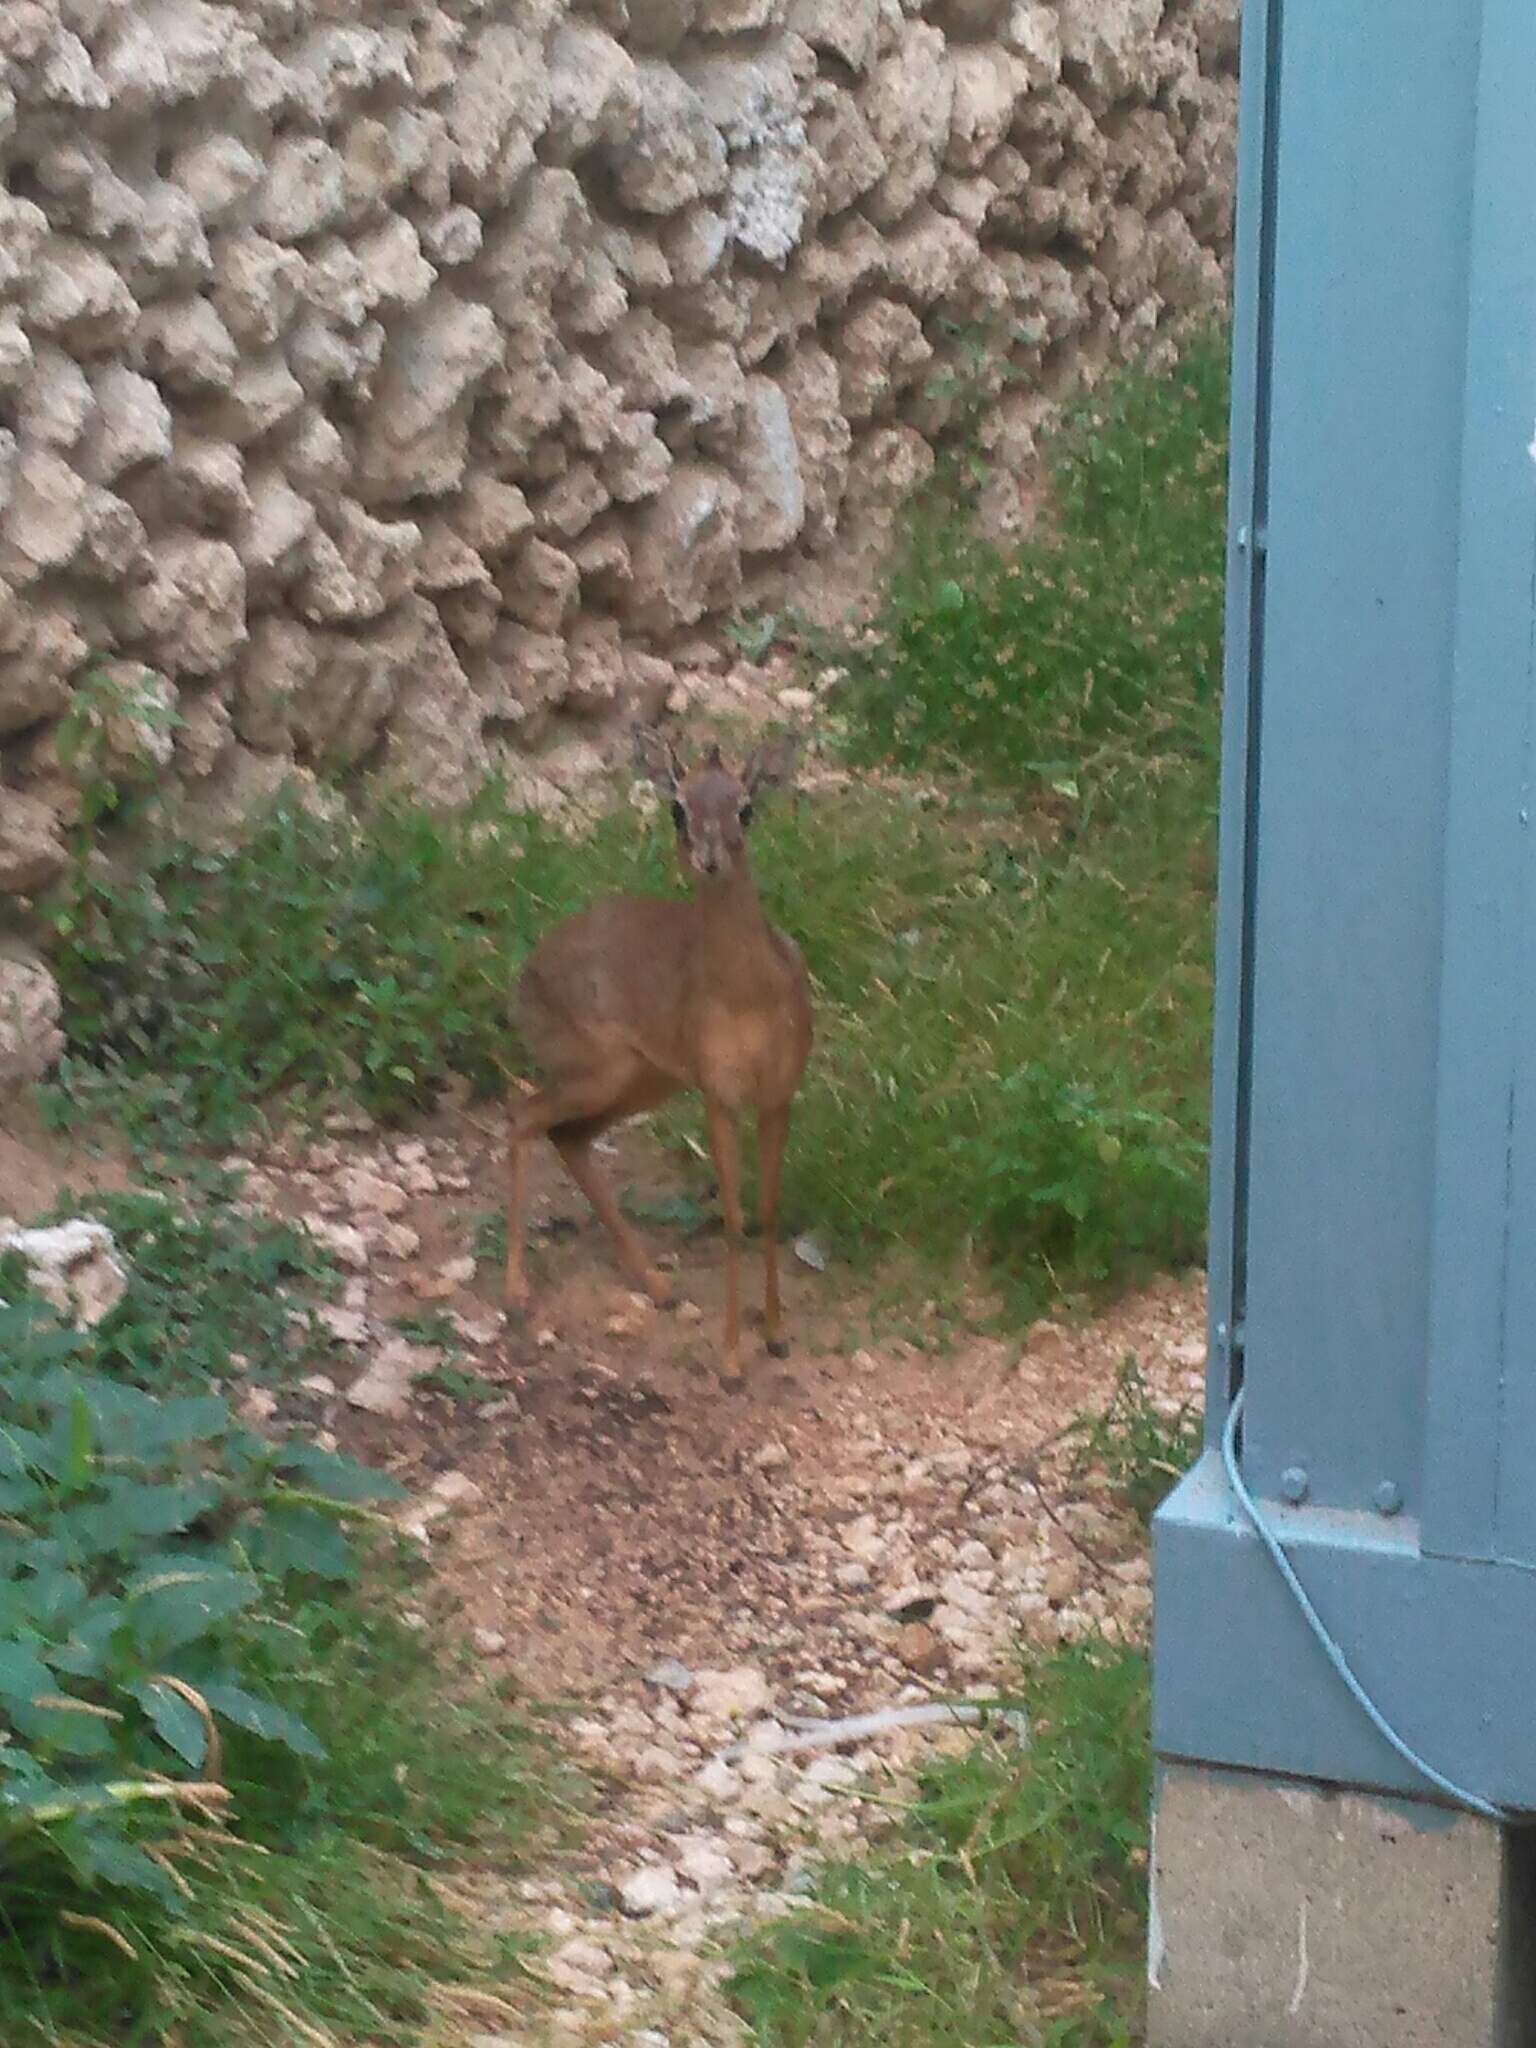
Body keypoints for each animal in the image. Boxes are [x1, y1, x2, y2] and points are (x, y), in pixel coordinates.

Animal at [505, 729, 819, 1384]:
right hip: (597, 1072)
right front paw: (731, 1361)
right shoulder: (720, 1096)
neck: (749, 995)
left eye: (746, 806)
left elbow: (769, 1209)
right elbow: (734, 1219)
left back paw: (658, 1285)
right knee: (521, 1114)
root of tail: (523, 975)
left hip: (642, 1080)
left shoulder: (778, 1095)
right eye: (677, 806)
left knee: (566, 1136)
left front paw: (776, 1336)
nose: (708, 858)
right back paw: (516, 1293)